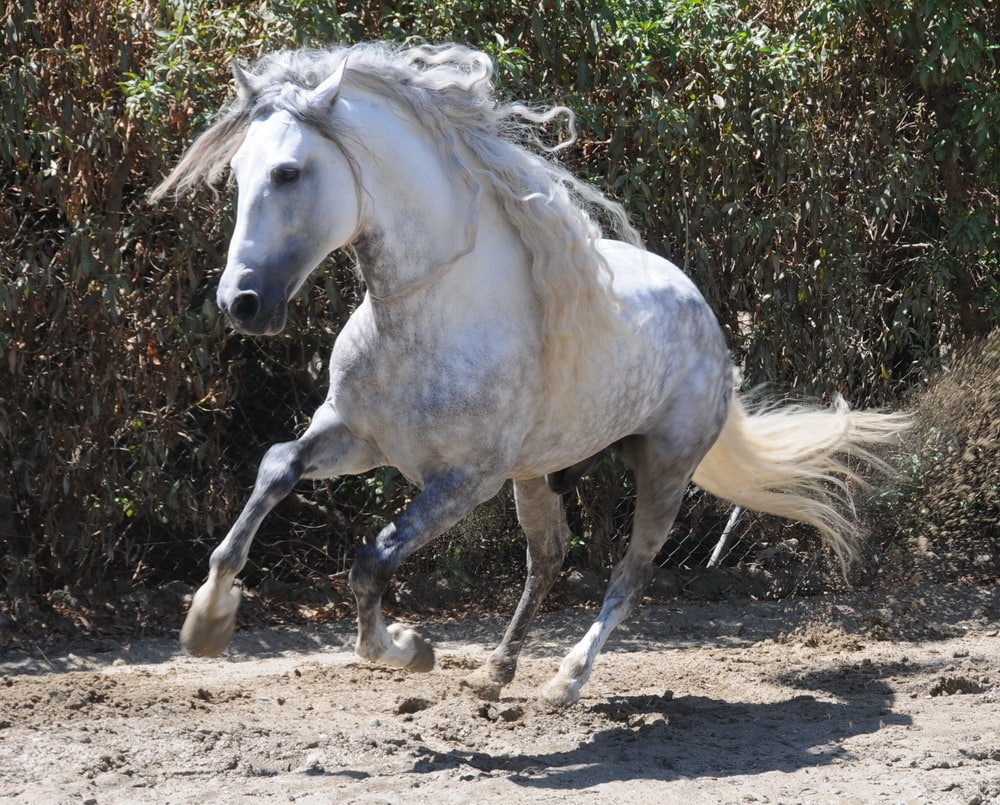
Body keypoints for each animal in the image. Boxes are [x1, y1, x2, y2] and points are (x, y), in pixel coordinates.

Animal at [152, 42, 907, 706]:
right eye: (237, 173)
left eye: (289, 172)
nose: (242, 303)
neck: (429, 315)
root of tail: (707, 318)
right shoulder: (355, 437)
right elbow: (276, 468)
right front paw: (208, 620)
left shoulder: (463, 481)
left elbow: (372, 562)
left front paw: (407, 649)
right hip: (538, 471)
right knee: (549, 554)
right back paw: (496, 671)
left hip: (663, 466)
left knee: (631, 571)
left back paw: (564, 680)